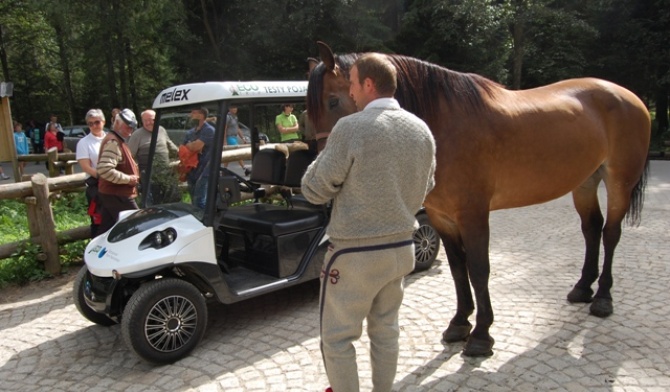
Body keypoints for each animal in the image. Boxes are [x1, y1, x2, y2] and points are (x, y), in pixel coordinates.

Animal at [308, 41, 652, 356]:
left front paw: (481, 335)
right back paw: (582, 288)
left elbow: (478, 269)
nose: (322, 173)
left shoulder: (473, 214)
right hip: (584, 183)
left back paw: (603, 298)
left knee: (610, 233)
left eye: (333, 100)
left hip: (619, 183)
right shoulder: (442, 217)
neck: (443, 125)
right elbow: (458, 269)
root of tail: (629, 96)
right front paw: (460, 323)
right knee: (591, 229)